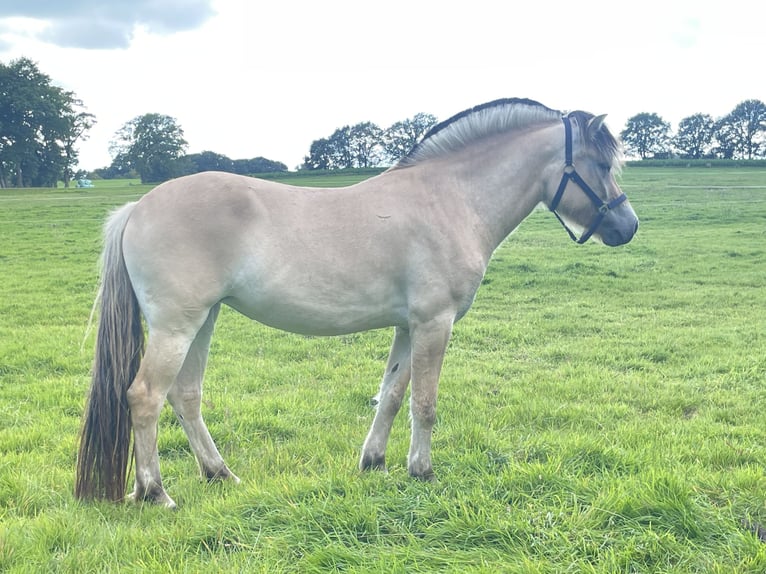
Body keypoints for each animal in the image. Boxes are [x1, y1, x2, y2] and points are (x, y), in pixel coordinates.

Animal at [75, 98, 640, 508]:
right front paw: (423, 472)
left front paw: (375, 463)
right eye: (600, 163)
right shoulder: (435, 322)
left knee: (185, 395)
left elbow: (391, 394)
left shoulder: (409, 326)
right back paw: (156, 493)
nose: (628, 226)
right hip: (177, 324)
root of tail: (137, 207)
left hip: (203, 320)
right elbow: (424, 402)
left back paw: (219, 475)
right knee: (145, 397)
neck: (449, 199)